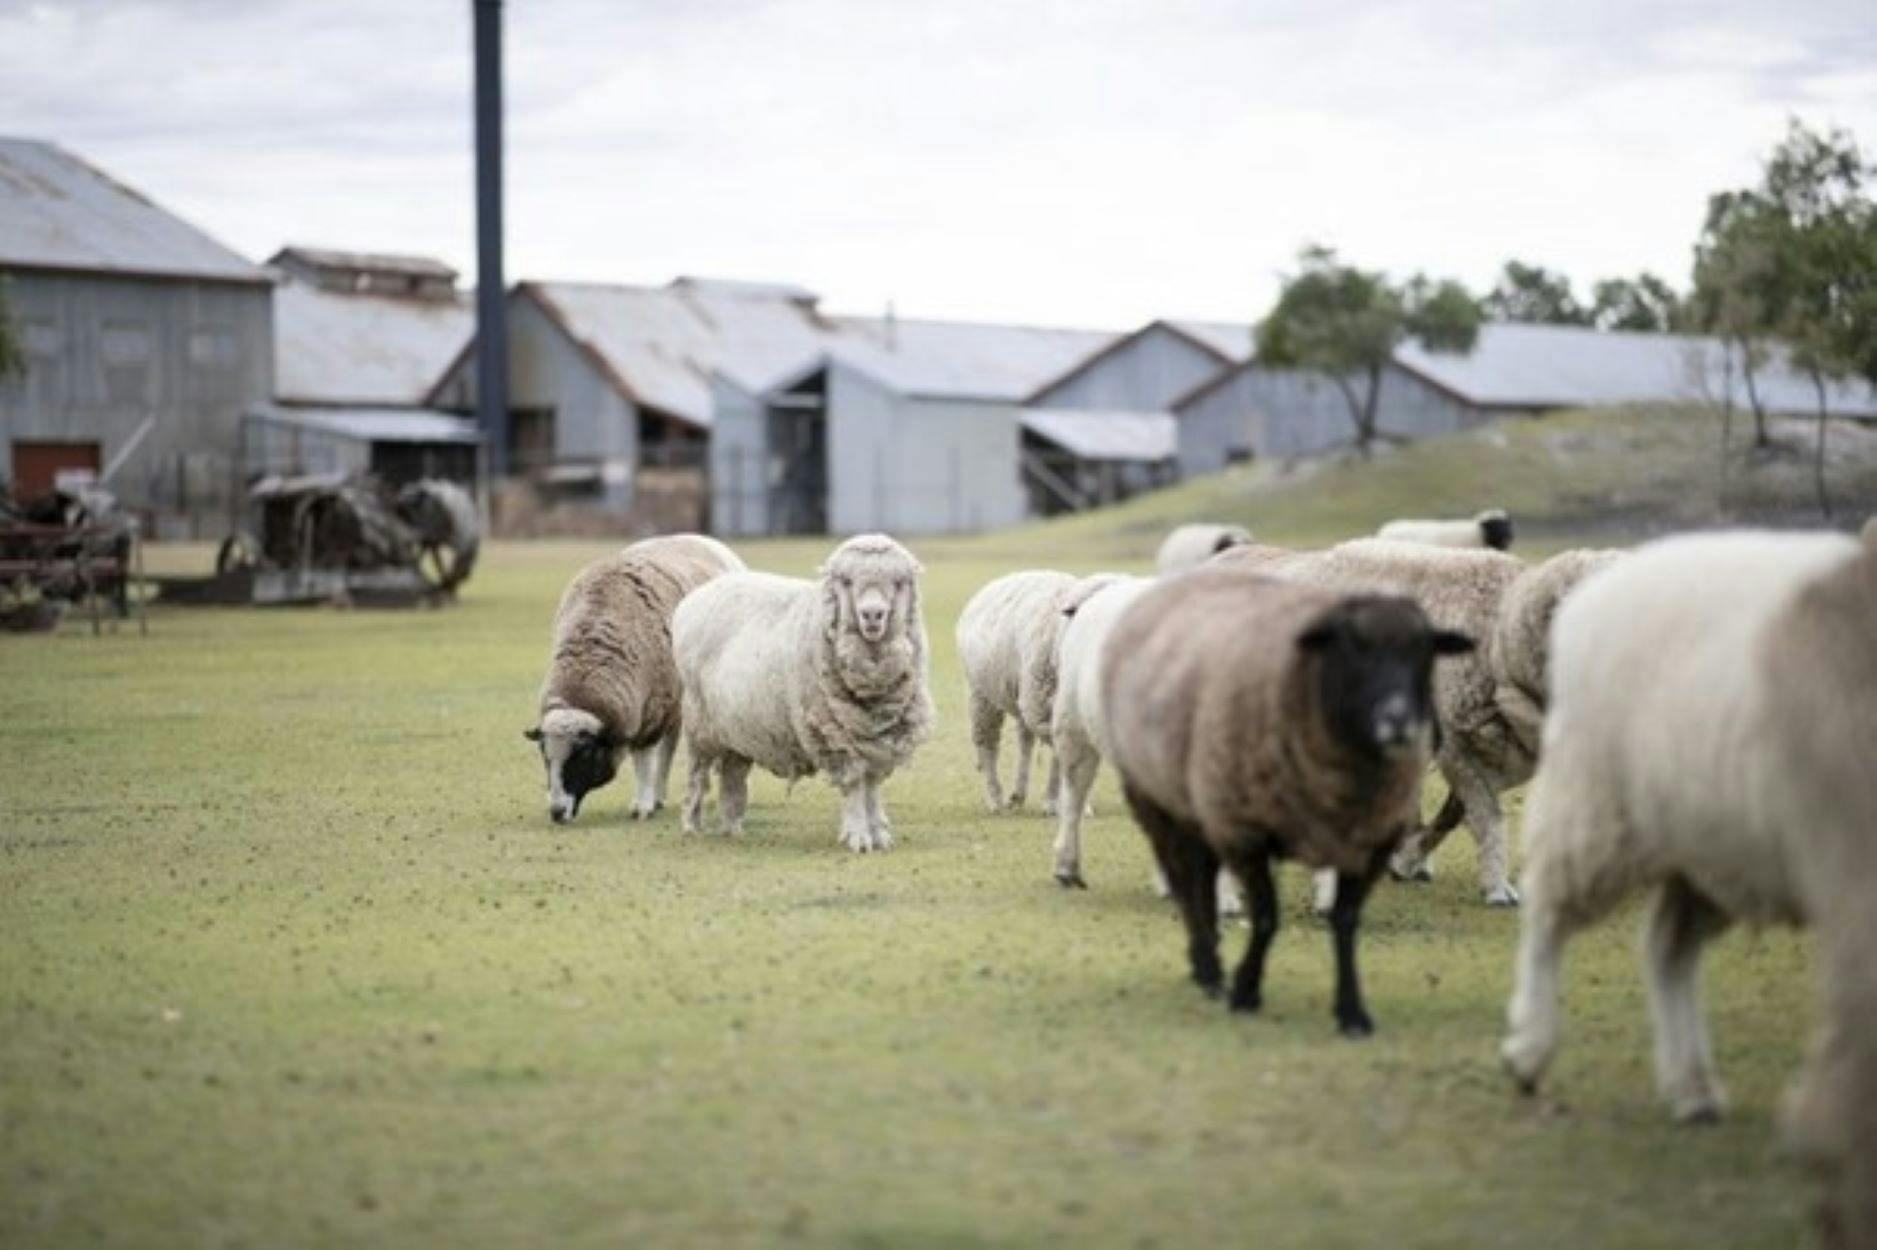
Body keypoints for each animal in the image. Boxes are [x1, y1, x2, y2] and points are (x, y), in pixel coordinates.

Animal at [526, 533, 745, 824]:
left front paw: (641, 806)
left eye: (584, 754)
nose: (557, 812)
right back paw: (660, 794)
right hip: (676, 699)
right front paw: (648, 801)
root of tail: (697, 537)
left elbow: (643, 761)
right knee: (670, 744)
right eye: (544, 755)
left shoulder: (651, 712)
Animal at [672, 533, 932, 852]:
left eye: (899, 582)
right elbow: (855, 785)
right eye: (846, 581)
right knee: (697, 777)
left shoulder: (876, 738)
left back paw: (731, 828)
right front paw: (858, 836)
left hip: (738, 728)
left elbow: (872, 785)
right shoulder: (838, 738)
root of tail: (694, 598)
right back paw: (691, 825)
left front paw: (879, 834)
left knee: (733, 777)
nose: (872, 614)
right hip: (699, 723)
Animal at [957, 570, 1122, 814]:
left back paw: (1019, 795)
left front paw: (1058, 801)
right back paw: (996, 799)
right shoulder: (1042, 707)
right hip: (983, 694)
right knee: (987, 743)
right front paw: (1065, 803)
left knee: (1025, 741)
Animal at [1103, 565, 1473, 1034]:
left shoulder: (1369, 843)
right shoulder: (1247, 831)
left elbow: (1345, 922)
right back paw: (1206, 964)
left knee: (1201, 876)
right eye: (1352, 648)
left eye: (1426, 654)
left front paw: (1351, 1011)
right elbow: (1265, 917)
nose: (1399, 721)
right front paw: (1246, 990)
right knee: (1185, 879)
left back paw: (1210, 958)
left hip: (1202, 806)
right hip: (1158, 799)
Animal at [1499, 530, 1877, 1244]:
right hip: (1600, 802)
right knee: (1547, 915)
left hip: (1709, 845)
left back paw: (1691, 1087)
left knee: (1667, 948)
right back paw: (1529, 1048)